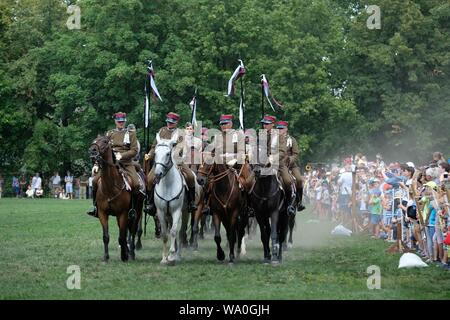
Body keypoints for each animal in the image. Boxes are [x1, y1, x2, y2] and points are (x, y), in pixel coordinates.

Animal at [154, 132, 191, 264]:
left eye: (167, 153)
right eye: (155, 153)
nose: (158, 174)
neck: (168, 185)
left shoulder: (177, 211)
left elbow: (174, 231)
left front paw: (171, 254)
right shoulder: (161, 212)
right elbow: (165, 234)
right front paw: (164, 258)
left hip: (185, 213)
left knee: (181, 232)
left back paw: (177, 255)